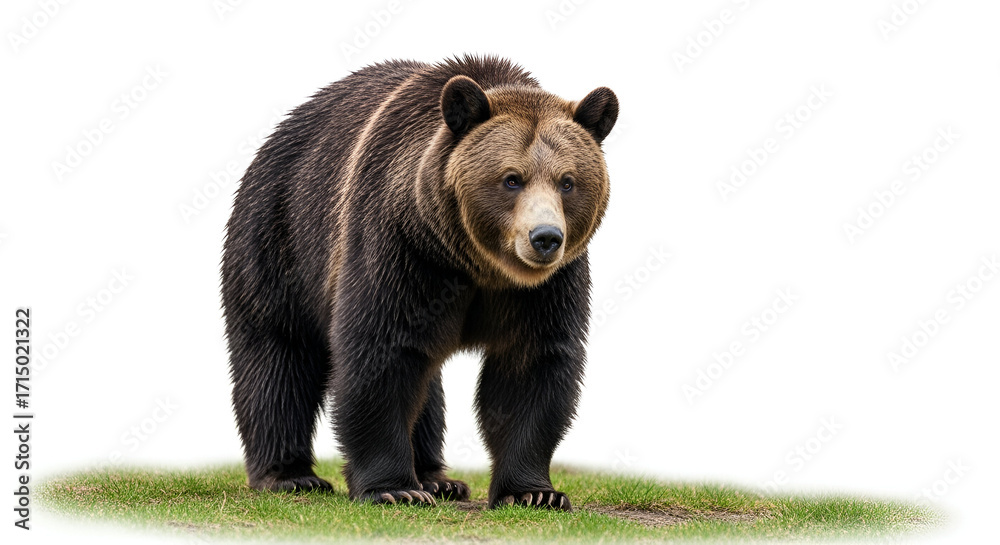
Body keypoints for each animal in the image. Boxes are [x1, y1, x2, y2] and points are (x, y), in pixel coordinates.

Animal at [222, 55, 618, 510]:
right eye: (511, 178)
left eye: (567, 181)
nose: (546, 238)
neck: (474, 263)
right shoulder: (402, 247)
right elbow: (380, 352)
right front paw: (392, 487)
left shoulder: (547, 288)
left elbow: (531, 364)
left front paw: (534, 492)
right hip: (280, 238)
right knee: (278, 356)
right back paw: (289, 475)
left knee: (426, 385)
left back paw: (438, 479)